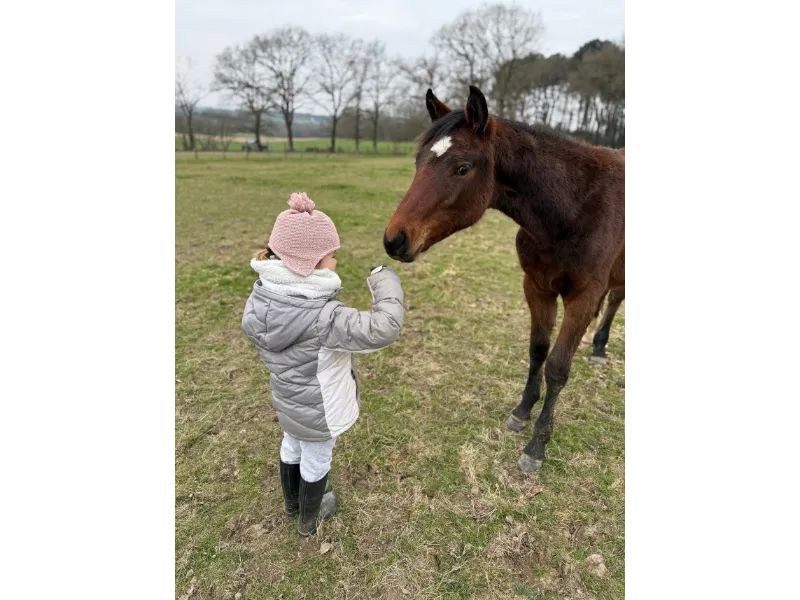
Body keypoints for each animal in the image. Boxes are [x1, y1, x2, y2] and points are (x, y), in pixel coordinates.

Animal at [383, 85, 625, 474]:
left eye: (462, 167)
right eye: (418, 161)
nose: (395, 239)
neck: (576, 207)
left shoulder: (584, 298)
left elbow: (558, 367)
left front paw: (537, 446)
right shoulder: (537, 288)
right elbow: (538, 349)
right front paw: (522, 411)